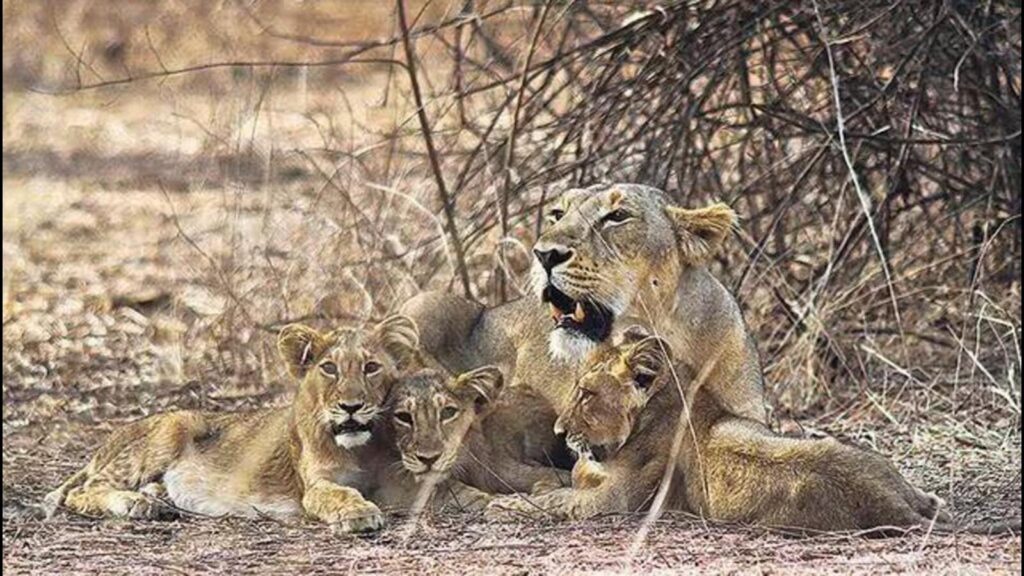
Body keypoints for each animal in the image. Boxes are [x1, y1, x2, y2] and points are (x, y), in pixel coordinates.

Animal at [43, 315, 421, 533]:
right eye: (329, 368)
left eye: (371, 367)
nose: (351, 407)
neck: (361, 449)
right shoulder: (314, 486)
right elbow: (340, 494)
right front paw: (358, 513)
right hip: (174, 426)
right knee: (83, 490)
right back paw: (139, 504)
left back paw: (157, 497)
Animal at [489, 327, 959, 532]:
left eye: (586, 394)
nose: (559, 429)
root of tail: (887, 498)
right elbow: (562, 483)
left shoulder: (615, 503)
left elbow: (556, 501)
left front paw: (502, 505)